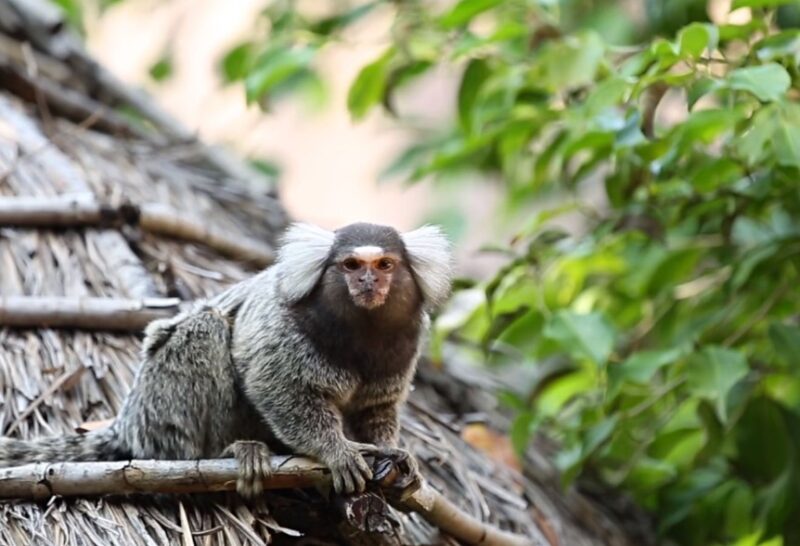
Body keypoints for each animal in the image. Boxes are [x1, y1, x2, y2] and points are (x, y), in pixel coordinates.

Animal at [0, 222, 450, 498]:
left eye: (385, 264)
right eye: (352, 265)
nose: (369, 282)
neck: (361, 331)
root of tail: (128, 423)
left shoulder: (405, 343)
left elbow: (377, 408)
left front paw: (393, 452)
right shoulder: (285, 328)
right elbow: (277, 388)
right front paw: (336, 450)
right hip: (161, 406)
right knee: (206, 329)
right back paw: (232, 450)